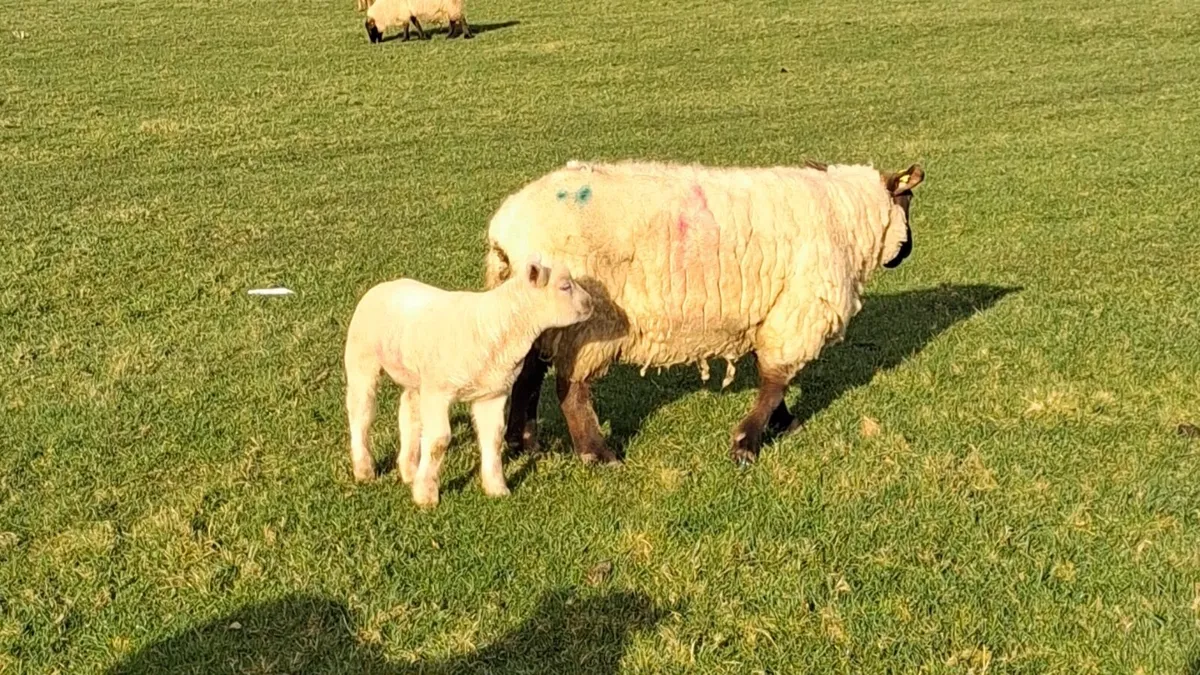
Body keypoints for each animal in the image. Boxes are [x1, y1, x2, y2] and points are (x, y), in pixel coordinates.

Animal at [344, 259, 594, 507]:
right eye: (565, 286)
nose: (590, 303)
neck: (498, 325)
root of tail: (386, 285)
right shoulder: (438, 391)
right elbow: (439, 441)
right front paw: (427, 495)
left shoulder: (492, 393)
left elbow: (493, 438)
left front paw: (497, 488)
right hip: (361, 359)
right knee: (361, 412)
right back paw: (364, 469)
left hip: (415, 375)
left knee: (409, 412)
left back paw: (409, 470)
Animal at [483, 158, 925, 466]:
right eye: (907, 200)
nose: (907, 252)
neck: (846, 216)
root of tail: (505, 229)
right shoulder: (799, 307)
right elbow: (777, 378)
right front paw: (747, 443)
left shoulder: (773, 310)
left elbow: (774, 378)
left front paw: (781, 422)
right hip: (588, 322)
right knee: (570, 387)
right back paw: (597, 454)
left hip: (541, 314)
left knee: (528, 372)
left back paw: (524, 441)